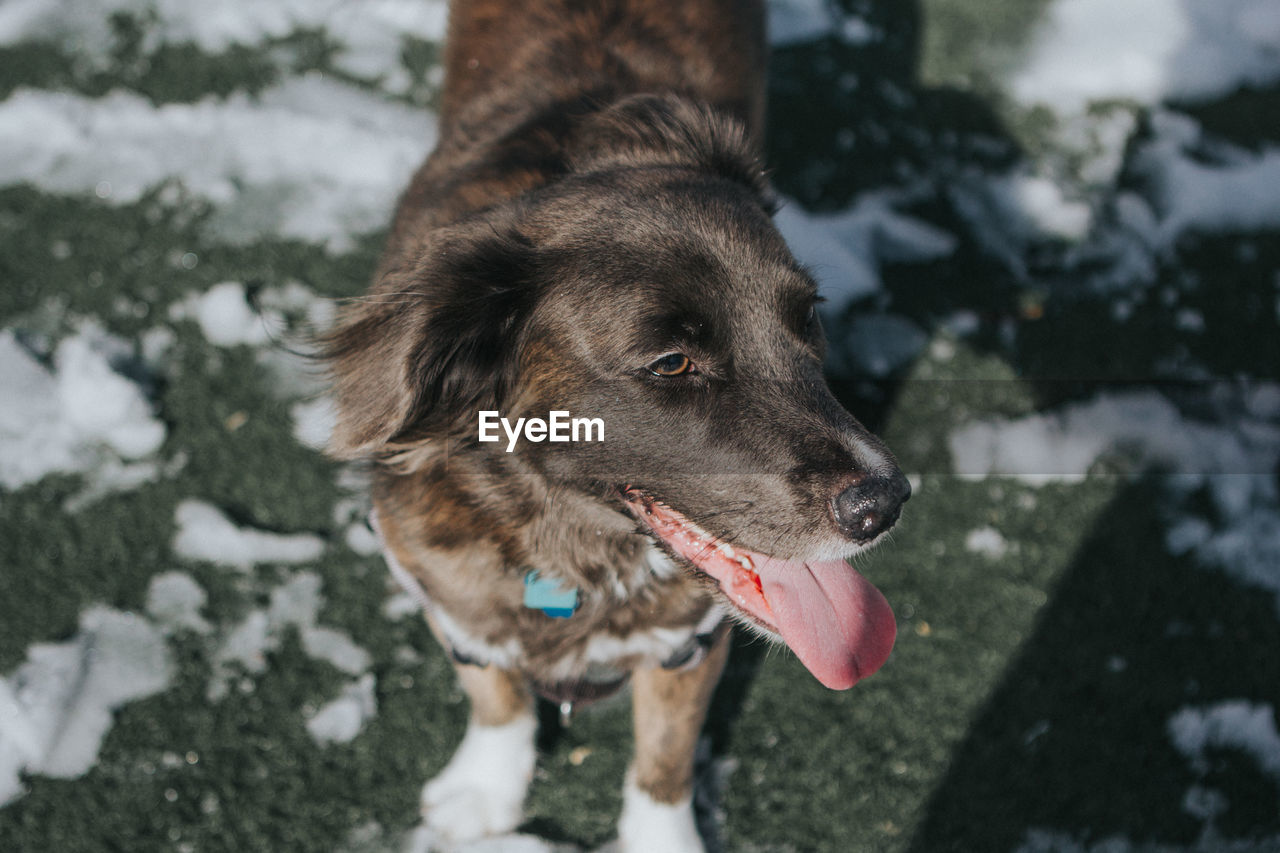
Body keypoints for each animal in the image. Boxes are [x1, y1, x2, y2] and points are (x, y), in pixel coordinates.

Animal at [327, 3, 911, 845]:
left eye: (809, 318)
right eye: (671, 362)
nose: (885, 503)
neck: (572, 543)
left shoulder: (691, 638)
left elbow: (664, 753)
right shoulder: (443, 588)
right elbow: (493, 688)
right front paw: (486, 788)